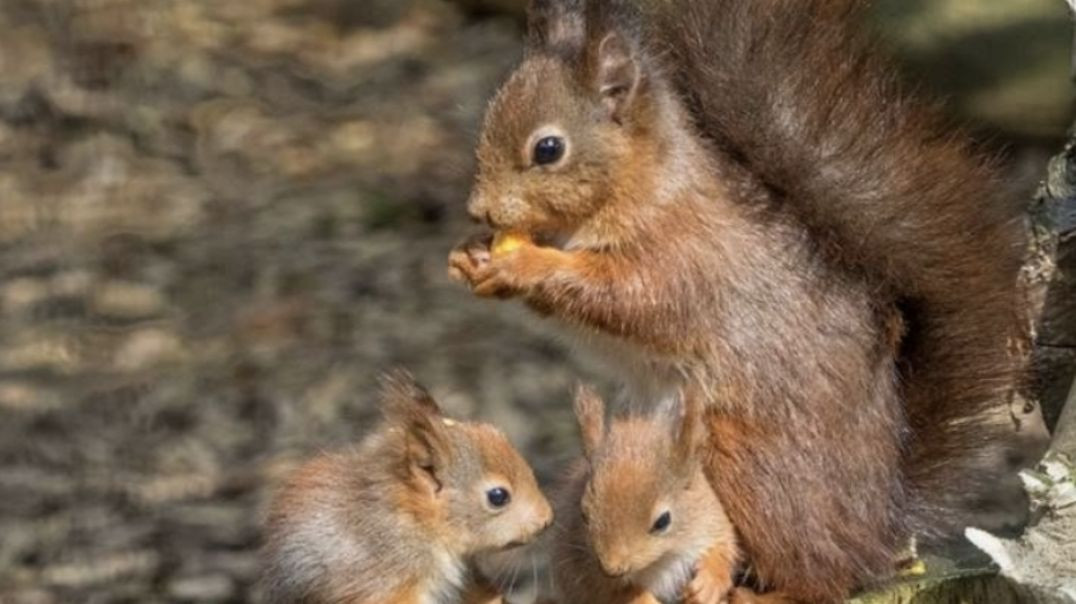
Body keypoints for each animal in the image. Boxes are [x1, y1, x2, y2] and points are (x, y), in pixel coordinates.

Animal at [555, 385, 740, 602]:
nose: (612, 568)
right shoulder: (587, 571)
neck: (663, 558)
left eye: (663, 521)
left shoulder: (710, 520)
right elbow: (618, 593)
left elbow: (724, 548)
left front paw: (708, 585)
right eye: (584, 515)